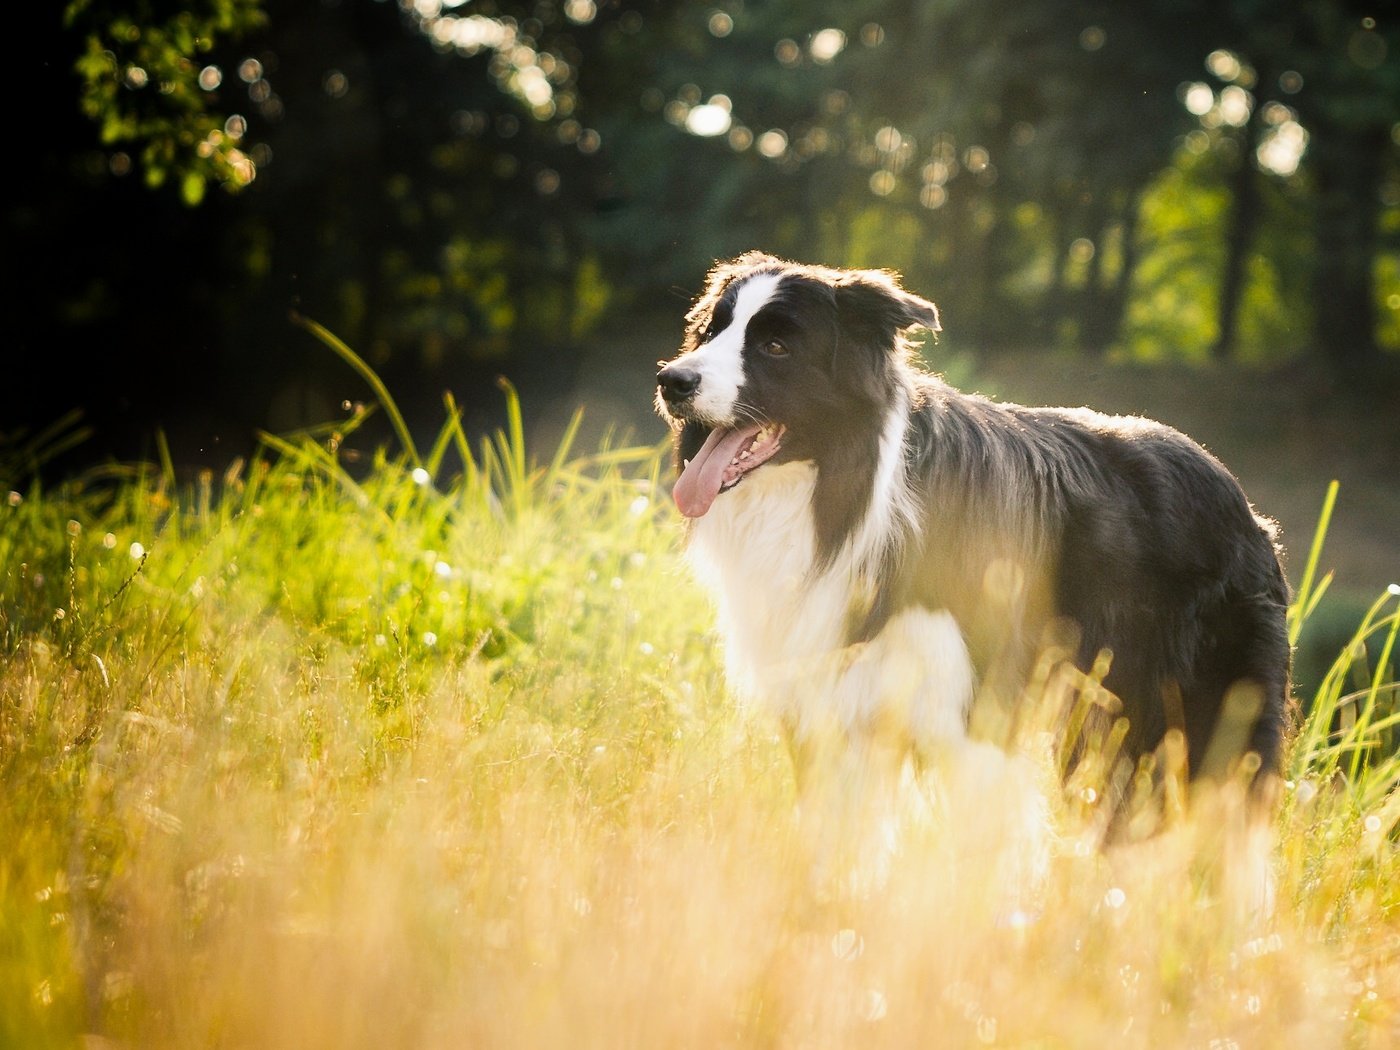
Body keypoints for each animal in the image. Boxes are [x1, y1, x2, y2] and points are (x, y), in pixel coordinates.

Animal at [652, 250, 1288, 845]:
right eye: (711, 330)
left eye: (777, 346)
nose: (671, 381)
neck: (842, 490)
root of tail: (1241, 498)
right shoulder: (831, 709)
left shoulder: (975, 713)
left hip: (1206, 709)